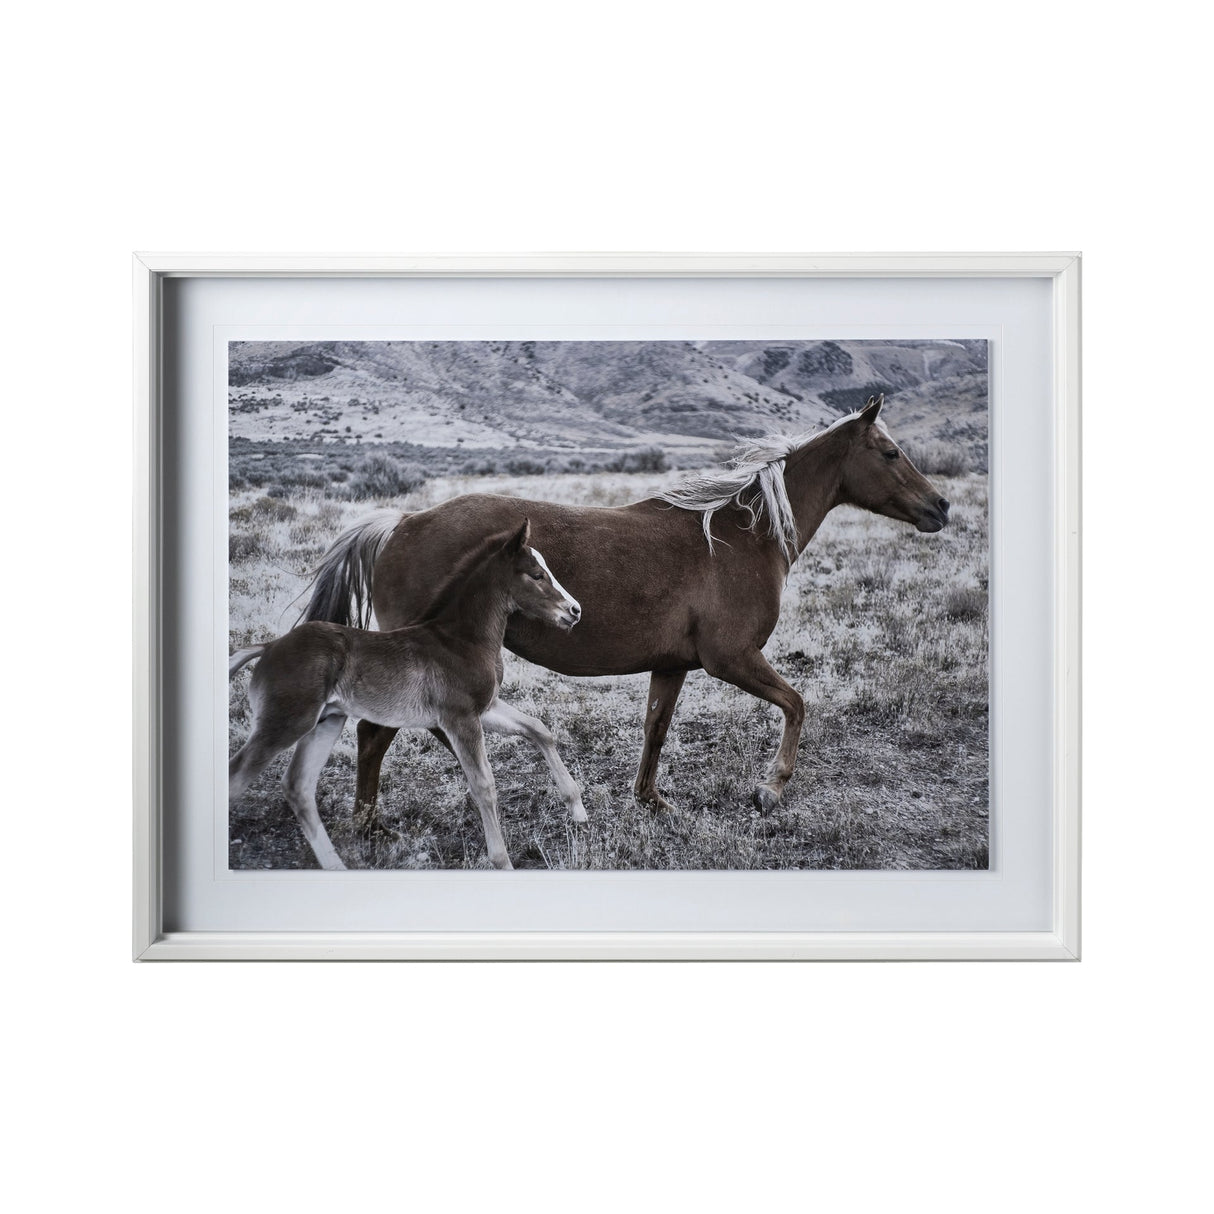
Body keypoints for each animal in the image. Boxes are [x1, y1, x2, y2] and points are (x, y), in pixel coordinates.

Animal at [229, 519, 584, 870]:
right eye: (536, 575)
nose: (575, 610)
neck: (461, 640)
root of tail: (269, 646)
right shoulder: (459, 718)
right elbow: (484, 785)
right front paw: (502, 862)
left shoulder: (485, 708)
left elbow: (538, 729)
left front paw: (577, 807)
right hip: (286, 722)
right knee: (239, 777)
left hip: (326, 722)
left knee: (298, 787)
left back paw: (336, 865)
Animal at [300, 394, 950, 824]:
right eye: (890, 452)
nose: (940, 507)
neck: (740, 537)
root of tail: (402, 522)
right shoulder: (733, 659)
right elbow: (796, 704)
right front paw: (769, 789)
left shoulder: (674, 664)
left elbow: (655, 729)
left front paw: (652, 800)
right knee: (377, 735)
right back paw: (368, 825)